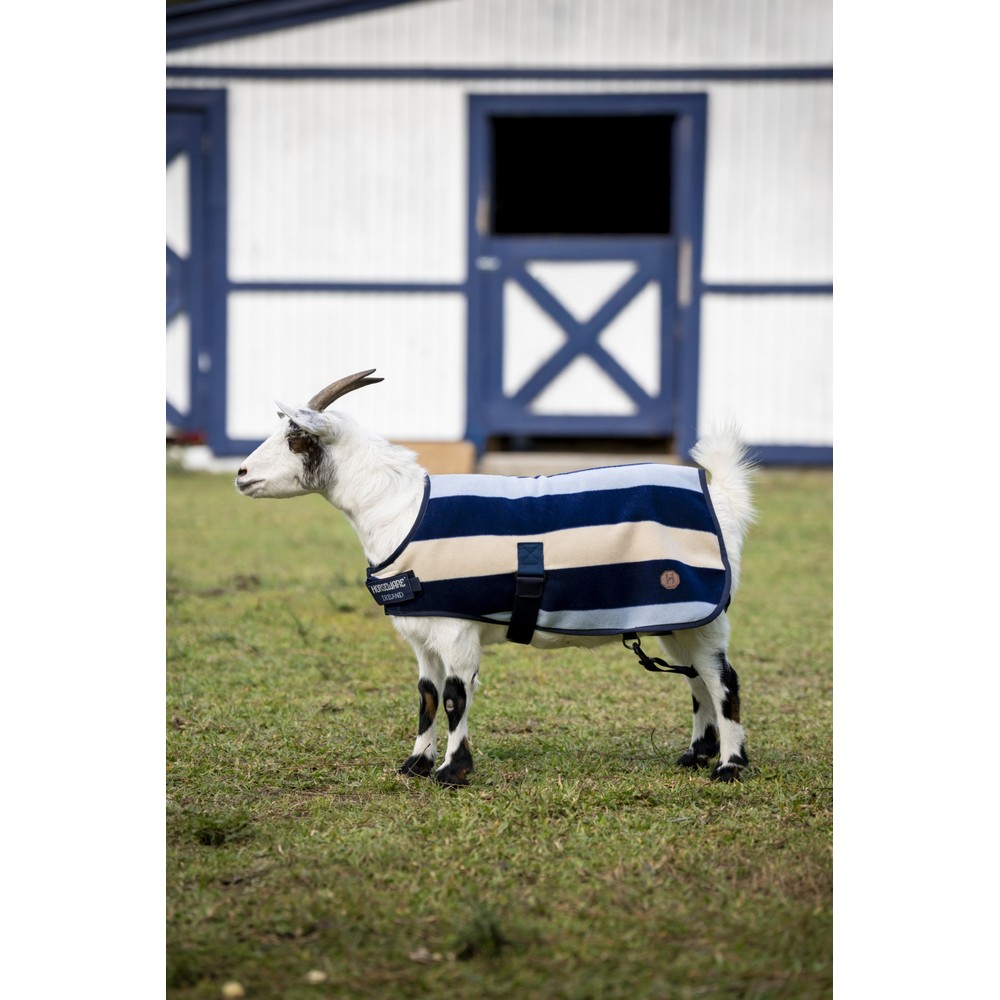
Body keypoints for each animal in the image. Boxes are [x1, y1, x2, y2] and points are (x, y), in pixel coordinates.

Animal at [236, 370, 756, 786]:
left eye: (296, 439)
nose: (241, 474)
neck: (401, 509)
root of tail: (722, 502)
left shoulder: (456, 629)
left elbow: (454, 697)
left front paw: (453, 772)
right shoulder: (423, 634)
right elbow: (426, 697)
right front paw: (415, 764)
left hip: (702, 614)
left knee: (722, 680)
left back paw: (729, 766)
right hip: (676, 618)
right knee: (696, 680)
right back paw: (696, 754)